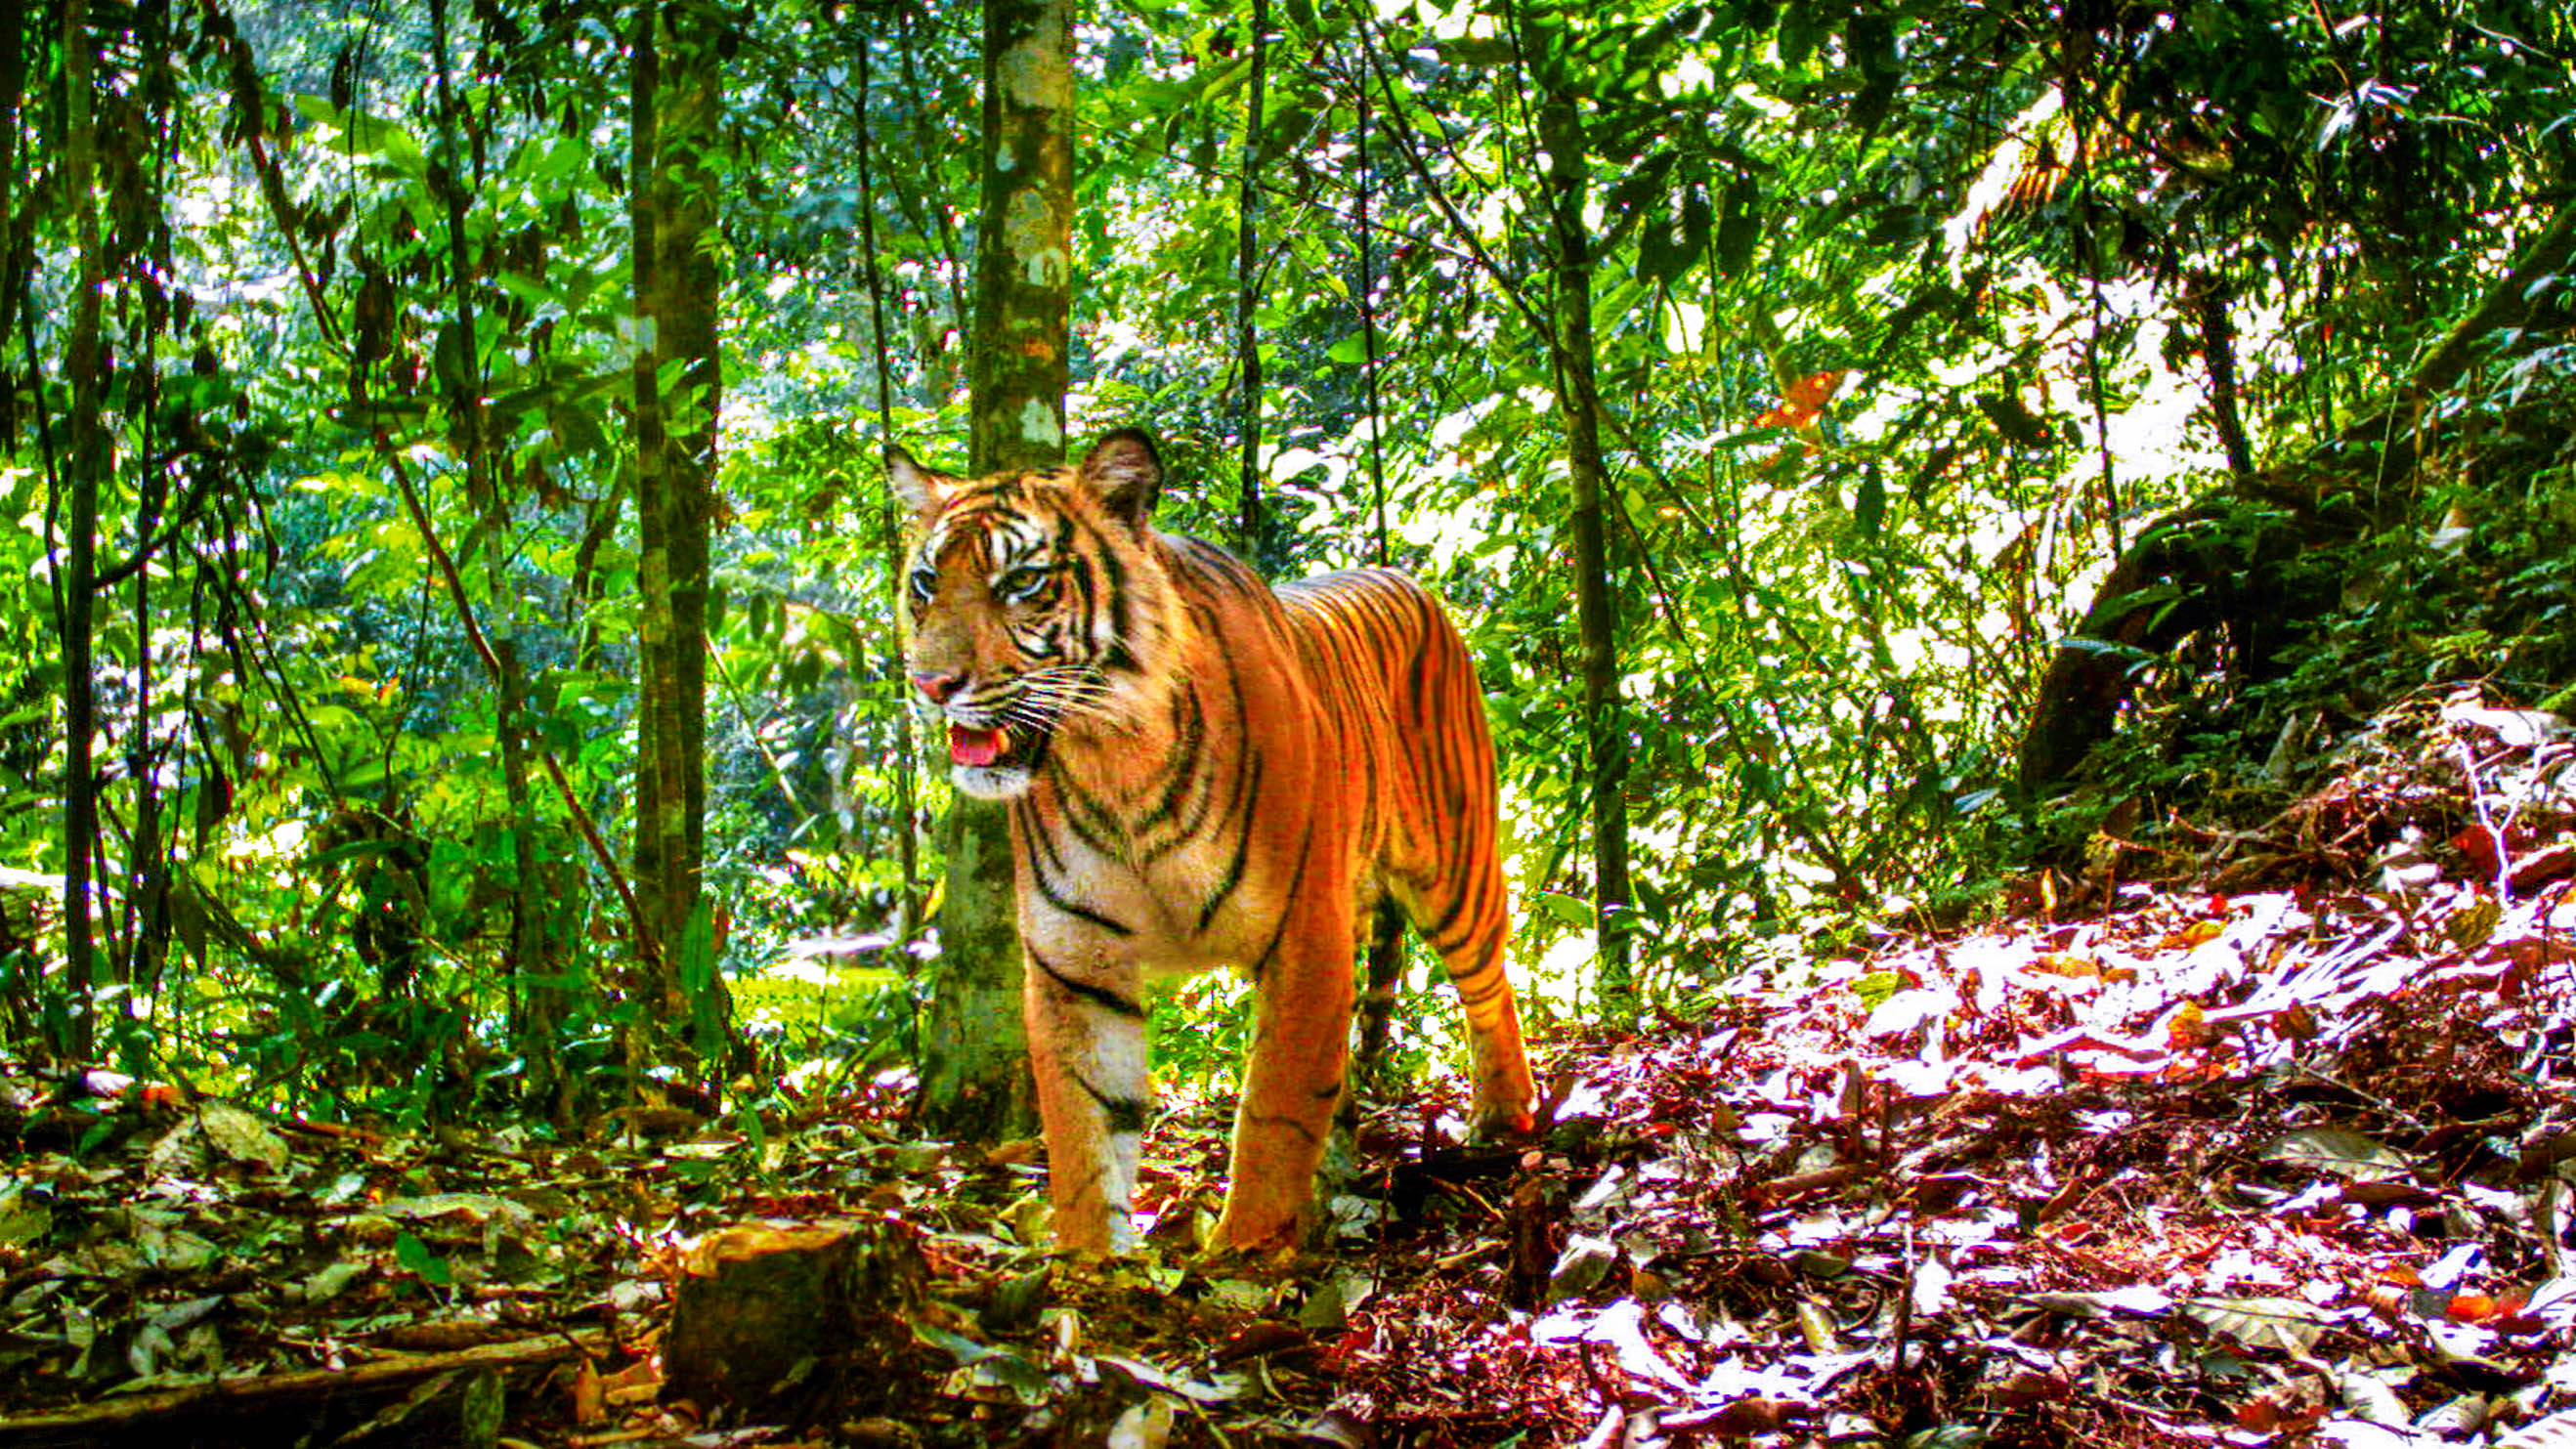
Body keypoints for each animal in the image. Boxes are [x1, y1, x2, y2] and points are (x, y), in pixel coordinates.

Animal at [888, 427, 1536, 1253]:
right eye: (926, 580)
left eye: (1024, 581)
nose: (930, 683)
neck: (1114, 762)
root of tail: (1404, 575)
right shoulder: (1076, 964)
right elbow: (1083, 1132)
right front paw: (1090, 1261)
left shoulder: (1305, 933)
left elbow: (1274, 1112)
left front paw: (1245, 1252)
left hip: (1456, 871)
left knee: (1490, 987)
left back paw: (1503, 1113)